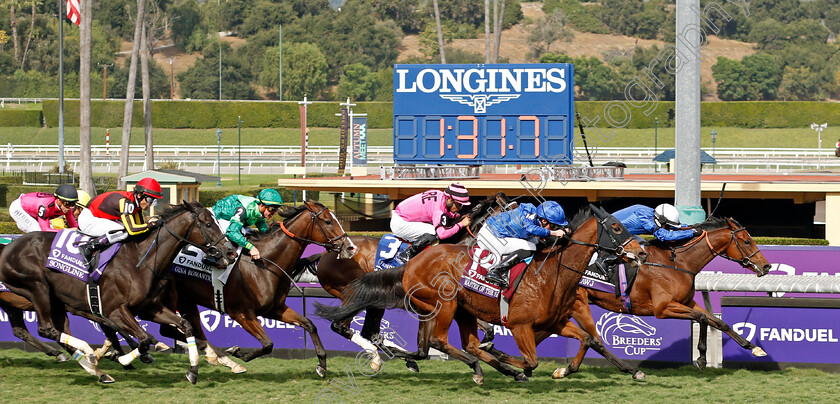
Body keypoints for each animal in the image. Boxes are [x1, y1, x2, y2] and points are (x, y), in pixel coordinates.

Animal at [0, 200, 236, 384]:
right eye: (208, 224)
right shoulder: (115, 309)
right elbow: (143, 338)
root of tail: (7, 248)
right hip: (38, 288)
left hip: (52, 301)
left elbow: (185, 326)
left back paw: (96, 370)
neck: (141, 261)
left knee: (50, 332)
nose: (230, 252)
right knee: (46, 329)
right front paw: (124, 358)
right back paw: (87, 352)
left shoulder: (150, 308)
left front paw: (193, 370)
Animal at [165, 200, 358, 378]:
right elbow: (267, 344)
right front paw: (238, 353)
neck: (264, 264)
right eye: (328, 221)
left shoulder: (274, 309)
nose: (351, 247)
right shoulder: (241, 313)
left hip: (186, 300)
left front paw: (322, 364)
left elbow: (309, 325)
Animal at [312, 193, 516, 372]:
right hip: (356, 298)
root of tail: (325, 254)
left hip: (373, 302)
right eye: (511, 212)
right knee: (342, 326)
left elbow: (488, 330)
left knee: (369, 331)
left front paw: (489, 347)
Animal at [318, 207, 648, 384]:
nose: (642, 252)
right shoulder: (520, 325)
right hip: (445, 303)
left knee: (459, 345)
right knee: (438, 341)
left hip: (457, 309)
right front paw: (514, 363)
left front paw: (565, 369)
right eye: (617, 226)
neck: (552, 273)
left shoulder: (556, 321)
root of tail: (411, 262)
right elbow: (530, 360)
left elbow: (588, 339)